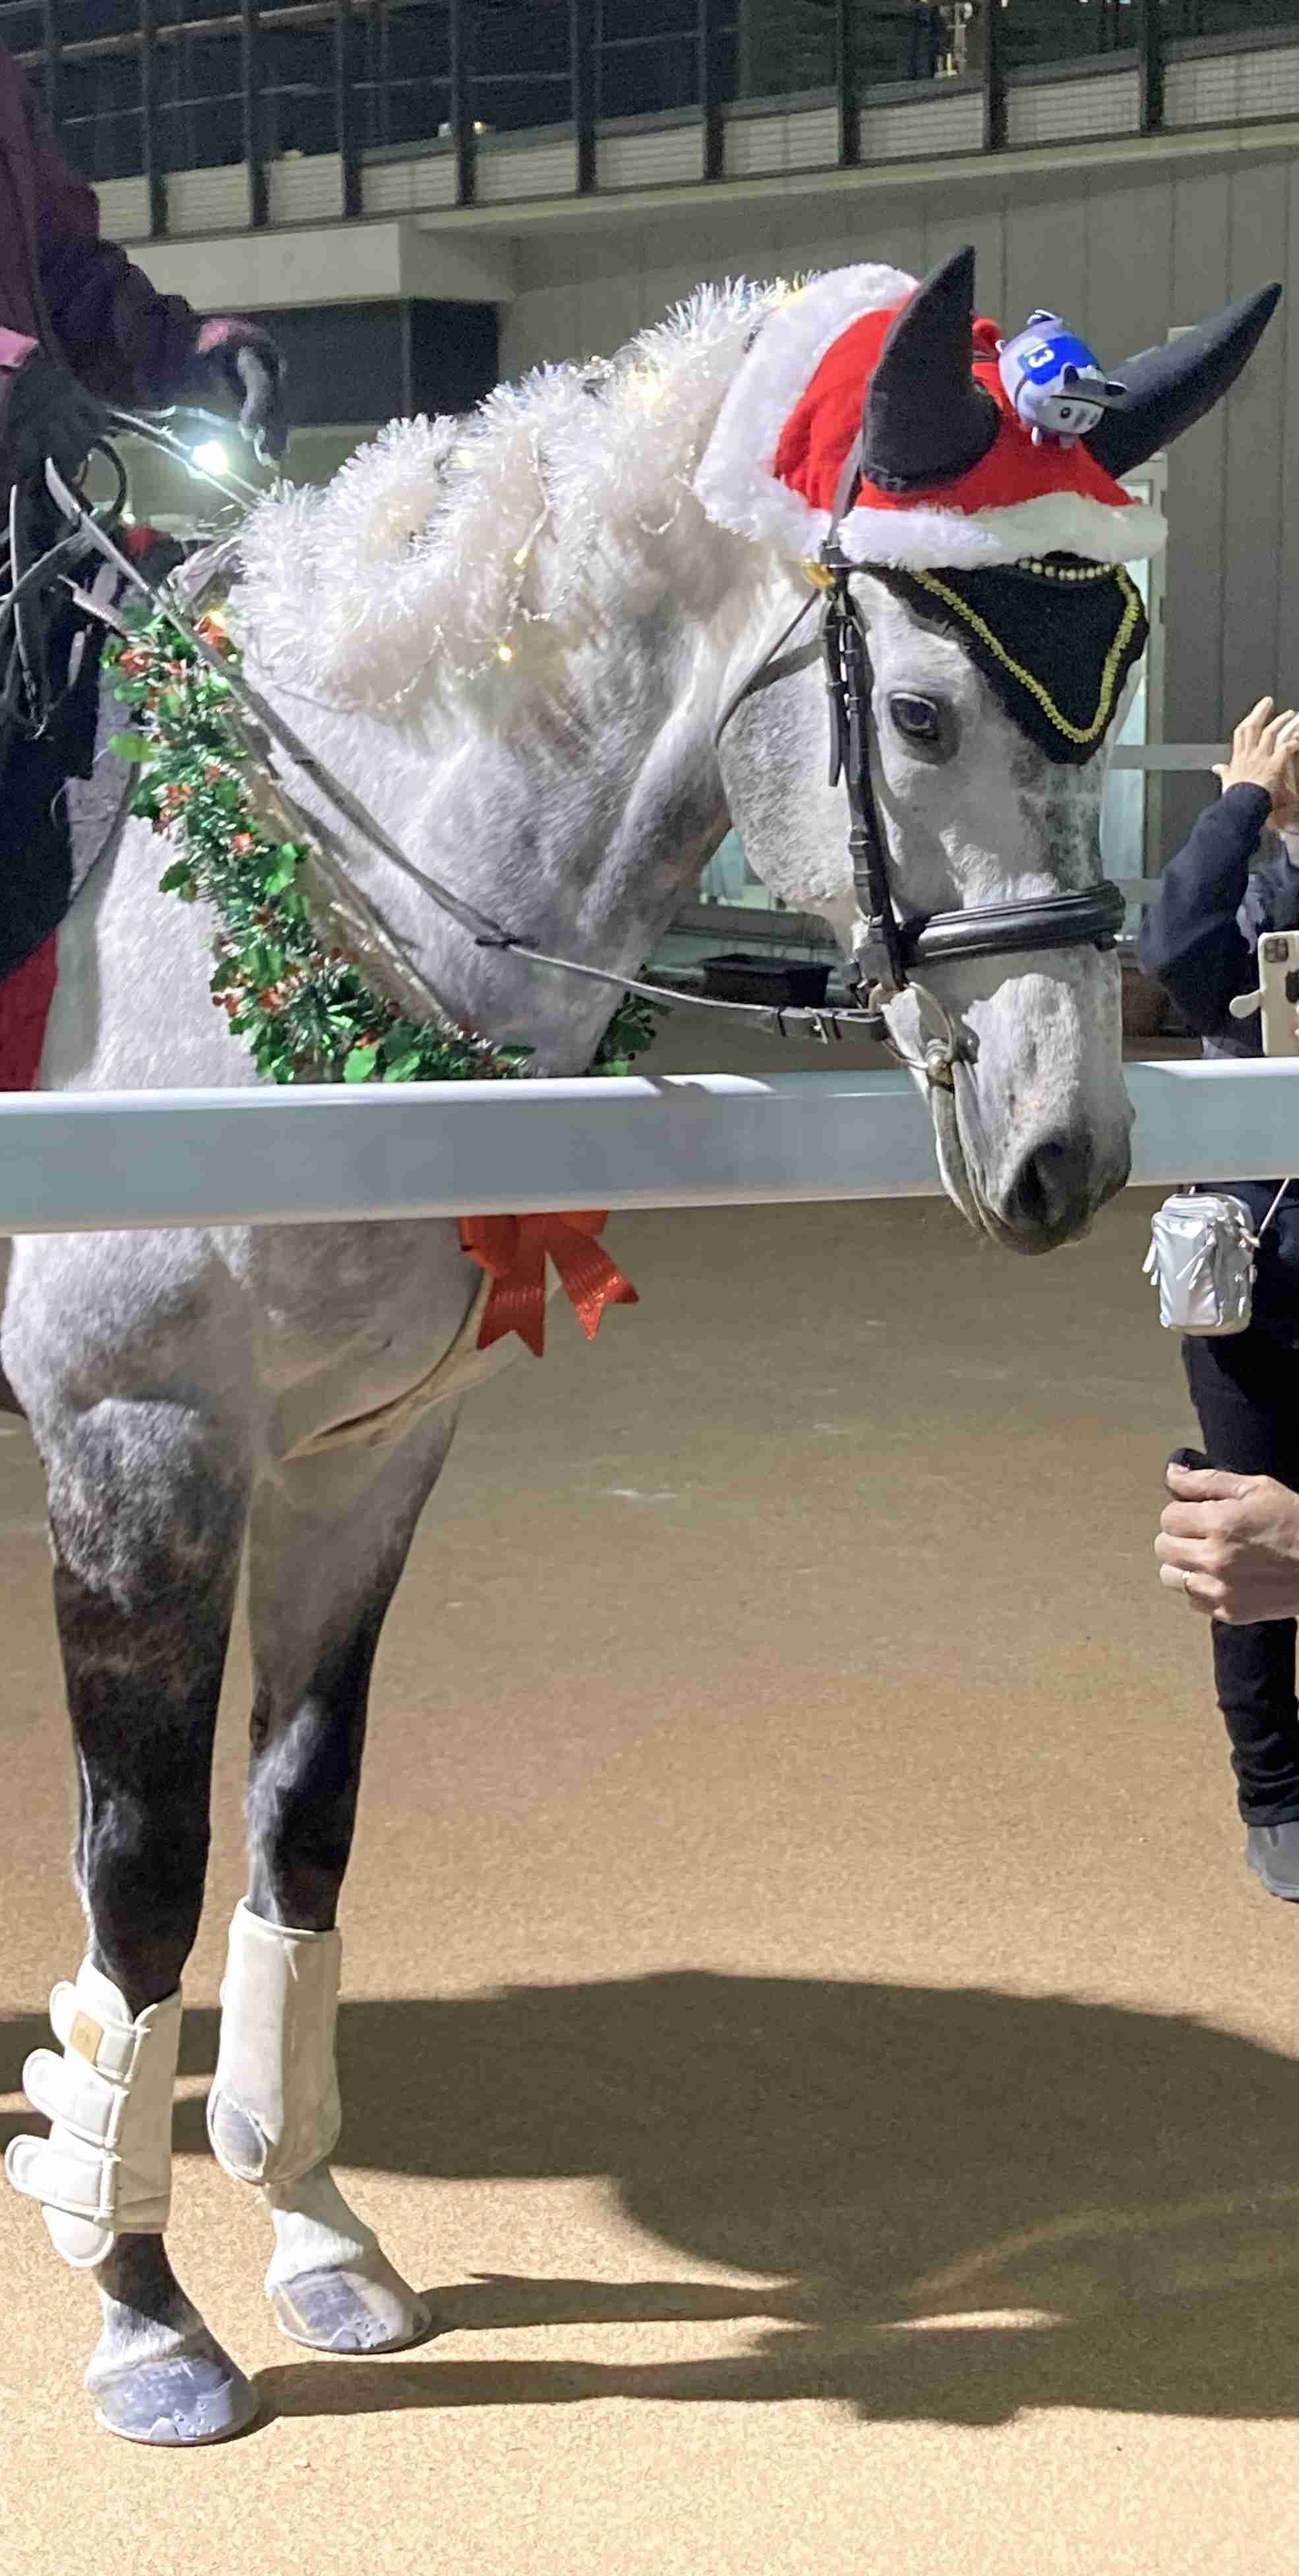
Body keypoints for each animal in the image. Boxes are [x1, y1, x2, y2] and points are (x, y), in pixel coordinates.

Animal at [0, 250, 1274, 2445]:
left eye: (1108, 694)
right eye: (918, 709)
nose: (1065, 1151)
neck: (252, 933)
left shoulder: (362, 1453)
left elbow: (300, 1825)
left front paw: (316, 2232)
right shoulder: (138, 1447)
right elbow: (144, 1872)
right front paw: (148, 2316)